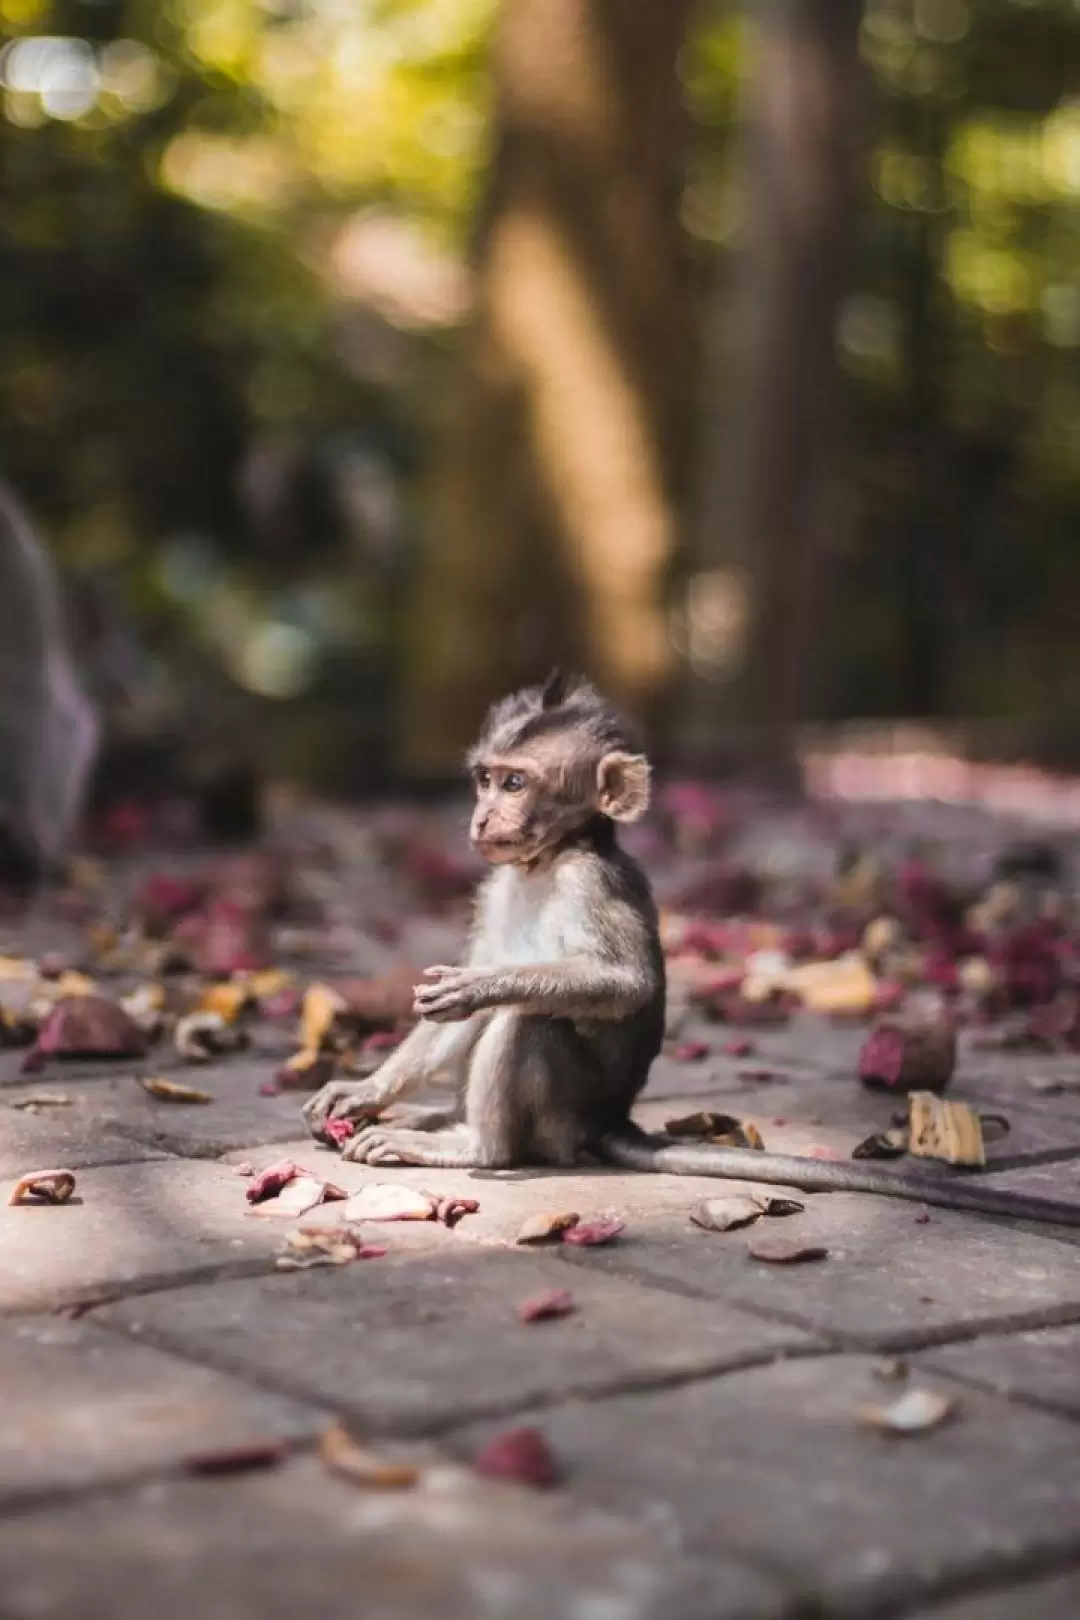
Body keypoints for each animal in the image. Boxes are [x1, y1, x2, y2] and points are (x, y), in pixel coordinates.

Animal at [304, 673, 1080, 1224]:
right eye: (484, 778)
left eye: (516, 782)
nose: (481, 817)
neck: (549, 859)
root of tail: (609, 1118)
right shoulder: (497, 884)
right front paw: (364, 1087)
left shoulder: (593, 883)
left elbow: (622, 985)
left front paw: (480, 988)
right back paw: (430, 1117)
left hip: (563, 1113)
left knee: (530, 1022)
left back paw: (469, 1144)